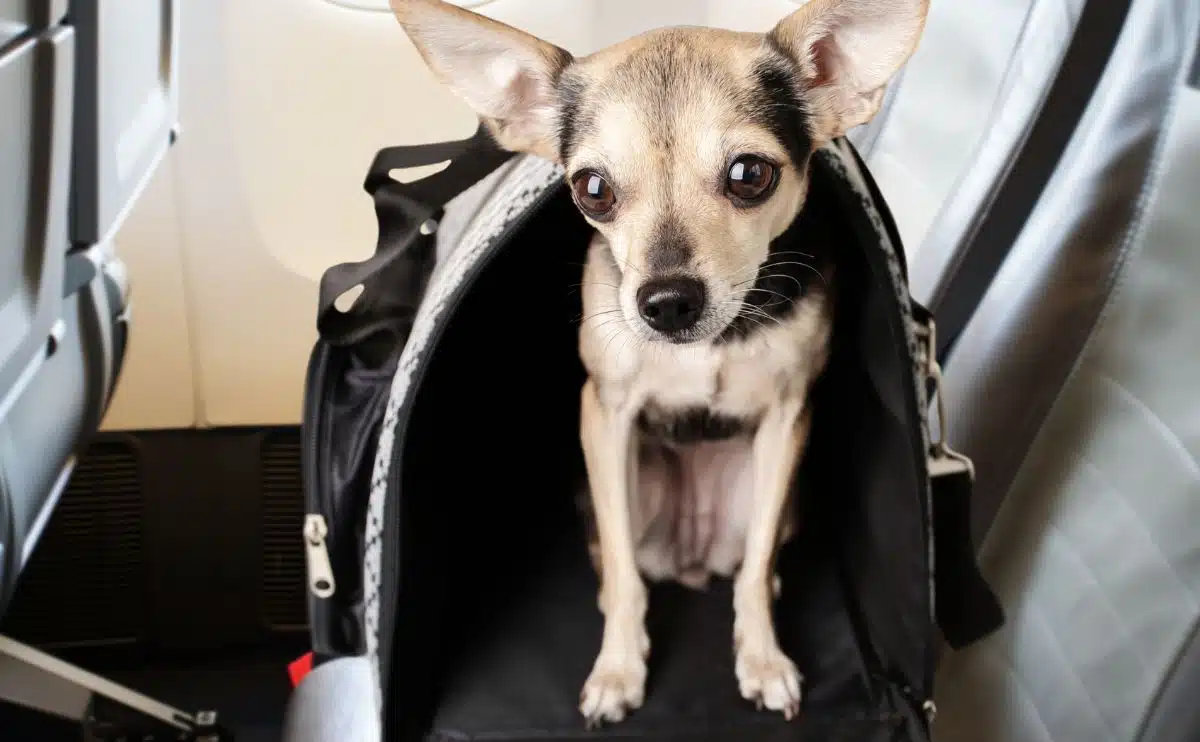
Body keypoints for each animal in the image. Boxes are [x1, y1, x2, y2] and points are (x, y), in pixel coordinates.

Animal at [388, 0, 931, 729]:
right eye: (592, 190)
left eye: (750, 175)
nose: (667, 302)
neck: (711, 342)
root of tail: (691, 556)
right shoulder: (606, 417)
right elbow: (623, 574)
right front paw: (618, 671)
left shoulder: (788, 419)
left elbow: (754, 569)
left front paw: (763, 658)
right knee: (618, 564)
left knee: (757, 560)